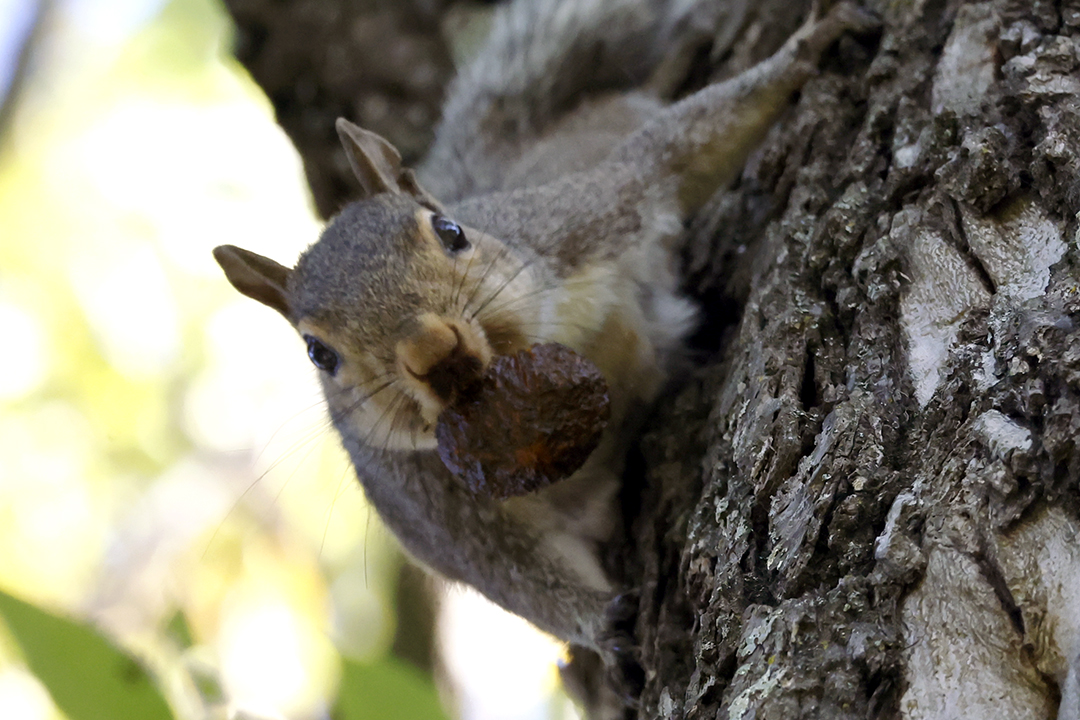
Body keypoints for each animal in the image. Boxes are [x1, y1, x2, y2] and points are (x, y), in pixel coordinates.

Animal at [212, 1, 876, 716]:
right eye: (318, 353)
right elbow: (516, 575)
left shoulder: (583, 218)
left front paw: (806, 51)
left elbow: (675, 153)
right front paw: (601, 626)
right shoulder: (426, 504)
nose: (431, 349)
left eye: (450, 232)